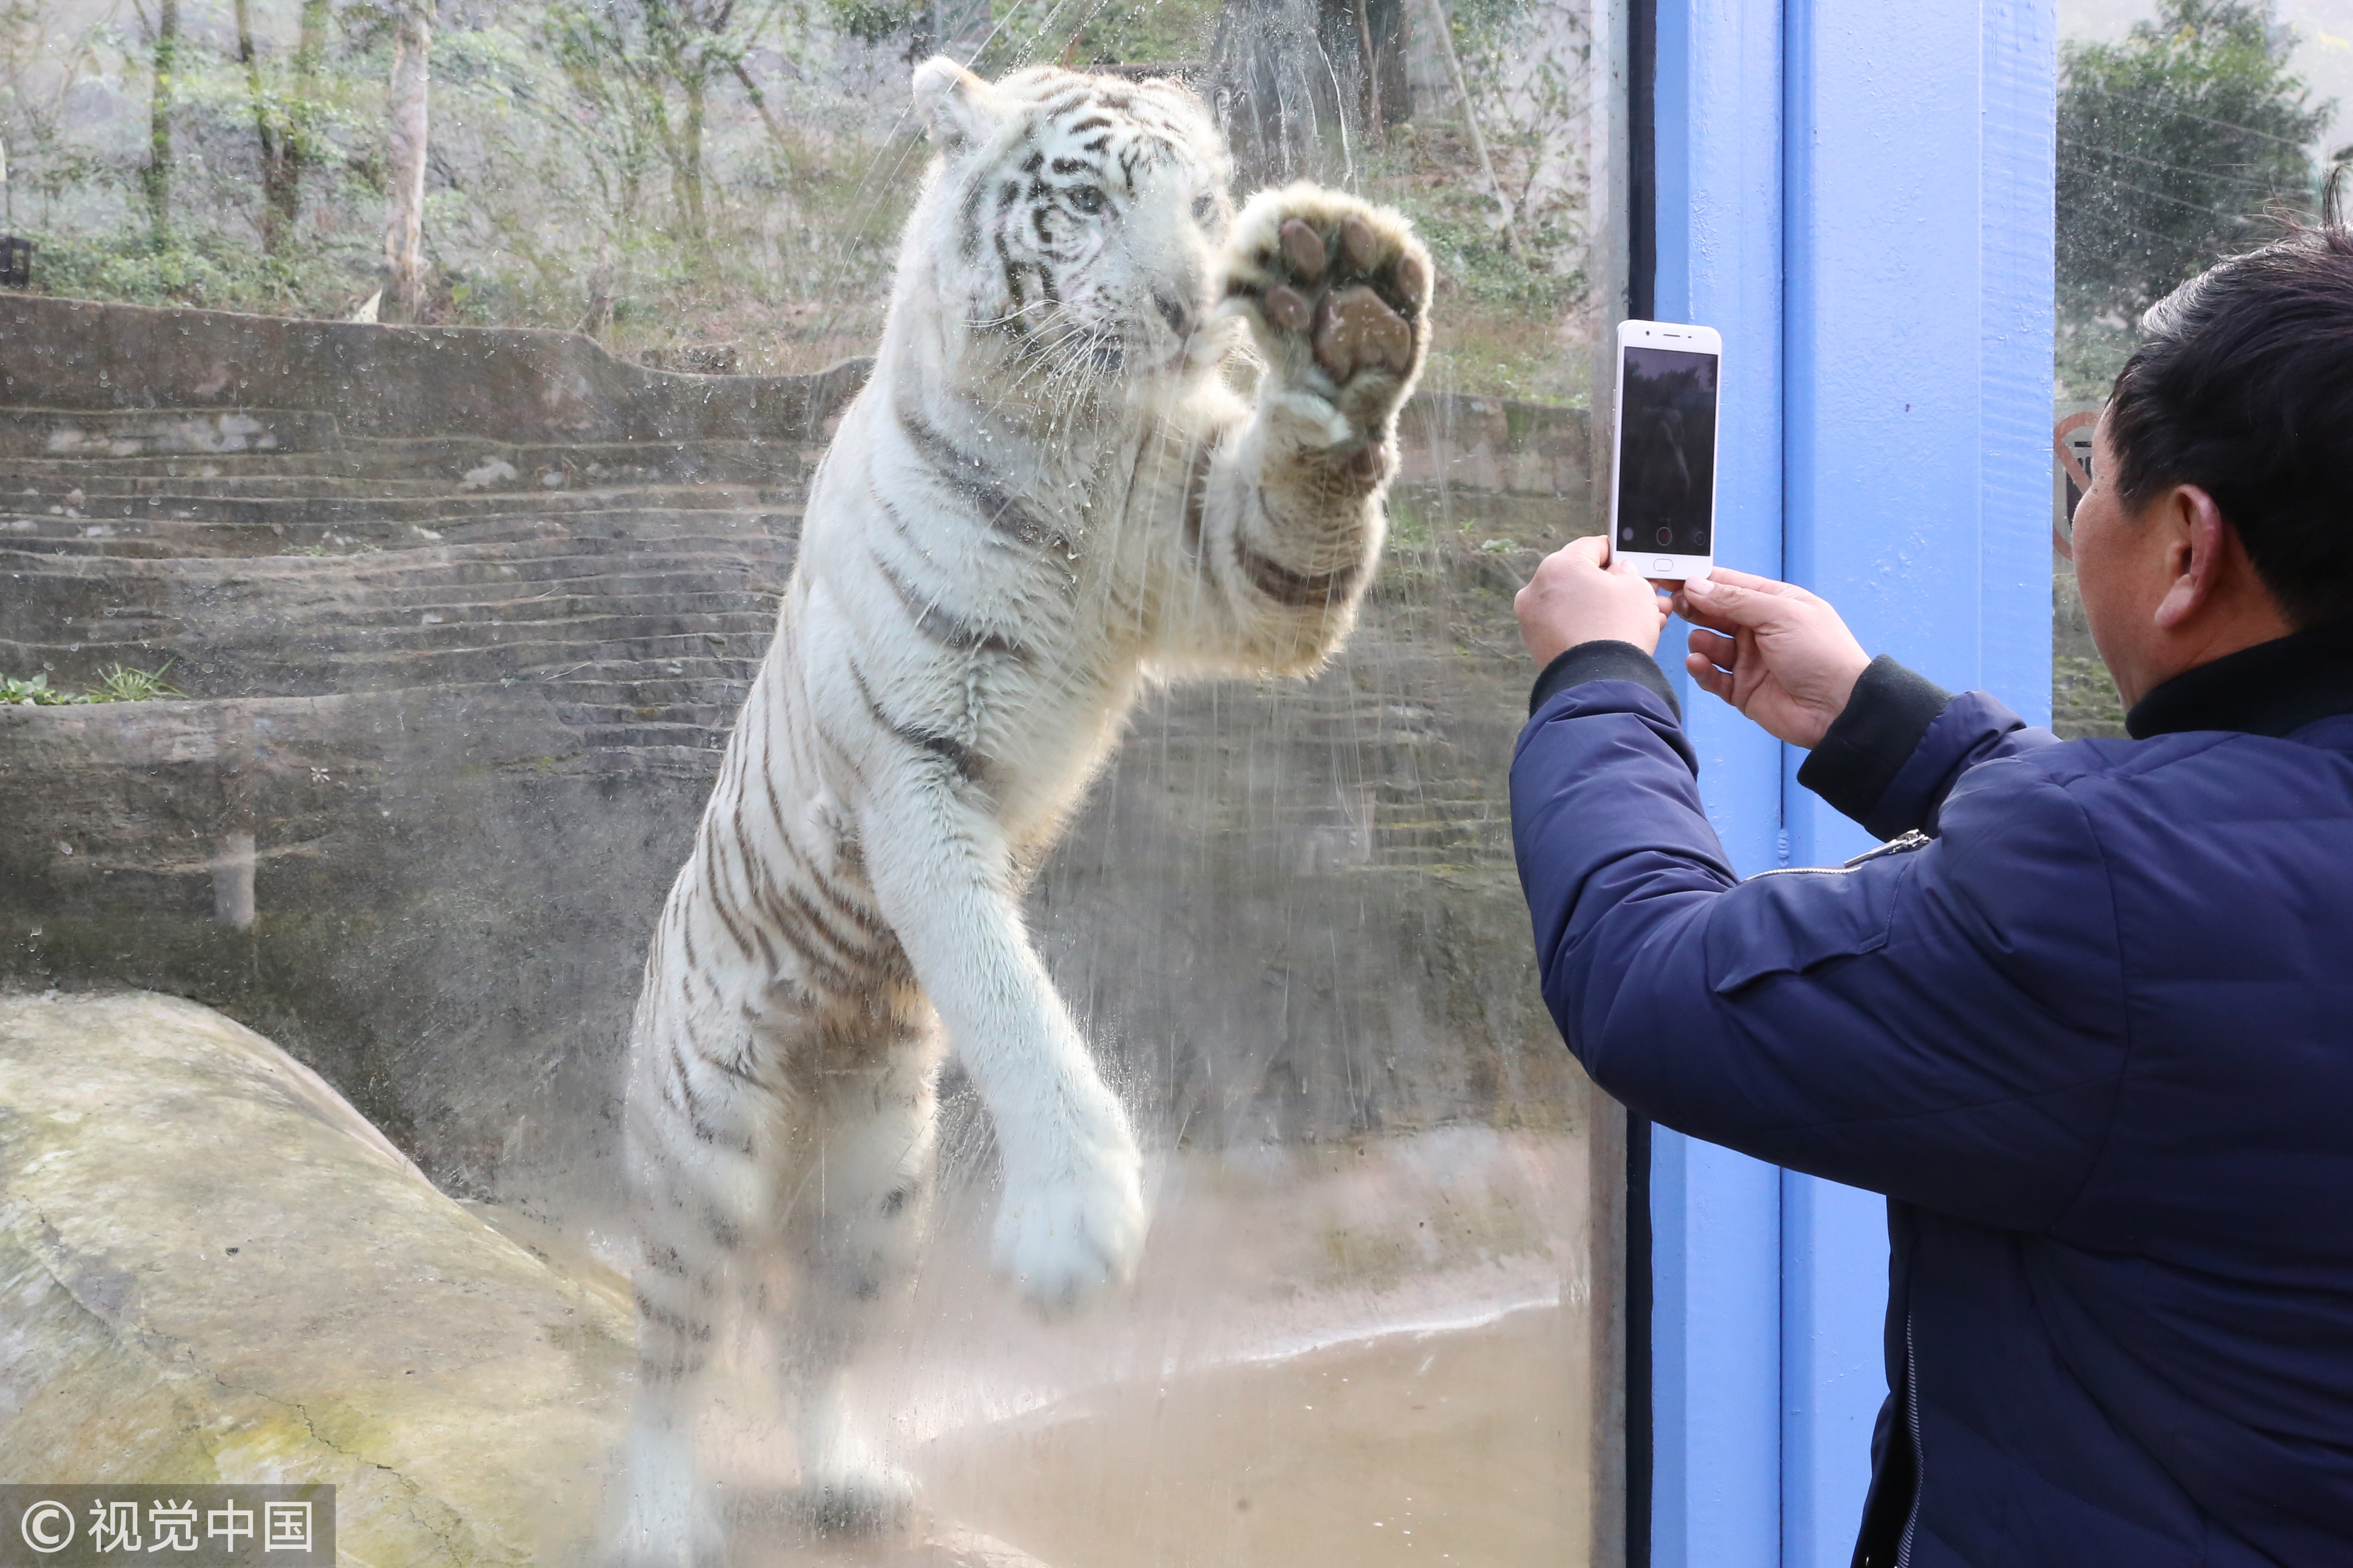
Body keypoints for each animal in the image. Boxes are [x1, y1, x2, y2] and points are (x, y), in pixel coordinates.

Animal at [621, 55, 1430, 1561]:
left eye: (1208, 204)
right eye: (1093, 200)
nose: (1187, 307)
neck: (1076, 442)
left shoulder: (1216, 551)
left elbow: (1292, 508)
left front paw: (1339, 308)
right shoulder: (917, 769)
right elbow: (1009, 995)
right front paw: (1077, 1223)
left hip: (881, 1184)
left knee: (818, 1336)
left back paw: (849, 1479)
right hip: (703, 1143)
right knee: (674, 1344)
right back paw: (654, 1513)